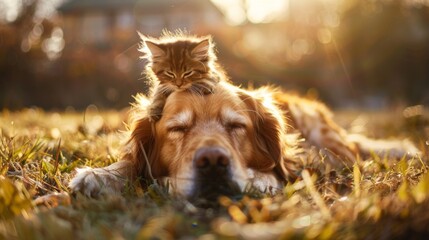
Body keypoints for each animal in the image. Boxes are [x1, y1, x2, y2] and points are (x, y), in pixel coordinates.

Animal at [67, 80, 418, 201]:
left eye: (236, 125)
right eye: (178, 129)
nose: (212, 162)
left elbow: (279, 171)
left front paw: (260, 180)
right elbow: (129, 163)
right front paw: (101, 175)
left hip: (331, 145)